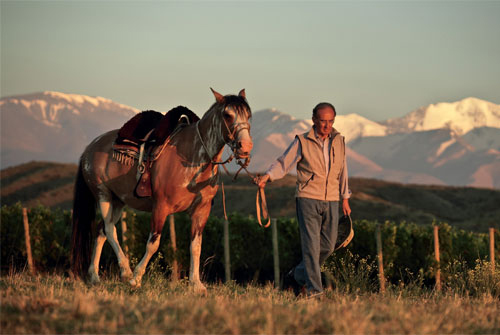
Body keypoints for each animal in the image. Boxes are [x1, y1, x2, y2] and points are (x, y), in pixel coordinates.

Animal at [72, 88, 252, 292]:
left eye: (248, 115)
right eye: (227, 115)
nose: (246, 147)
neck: (192, 157)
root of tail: (89, 148)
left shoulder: (201, 210)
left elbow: (196, 246)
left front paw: (196, 284)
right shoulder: (161, 206)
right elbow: (153, 244)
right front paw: (136, 278)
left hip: (117, 201)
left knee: (101, 231)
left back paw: (94, 276)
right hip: (103, 194)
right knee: (110, 230)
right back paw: (126, 272)